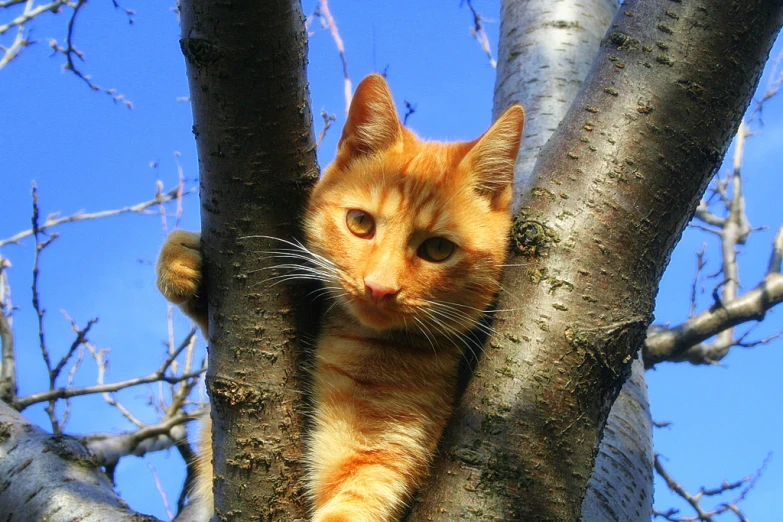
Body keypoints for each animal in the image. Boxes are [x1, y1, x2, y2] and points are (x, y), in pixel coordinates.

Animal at [156, 74, 524, 520]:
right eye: (360, 223)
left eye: (438, 249)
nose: (379, 287)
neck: (356, 342)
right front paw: (182, 261)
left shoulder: (385, 458)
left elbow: (353, 504)